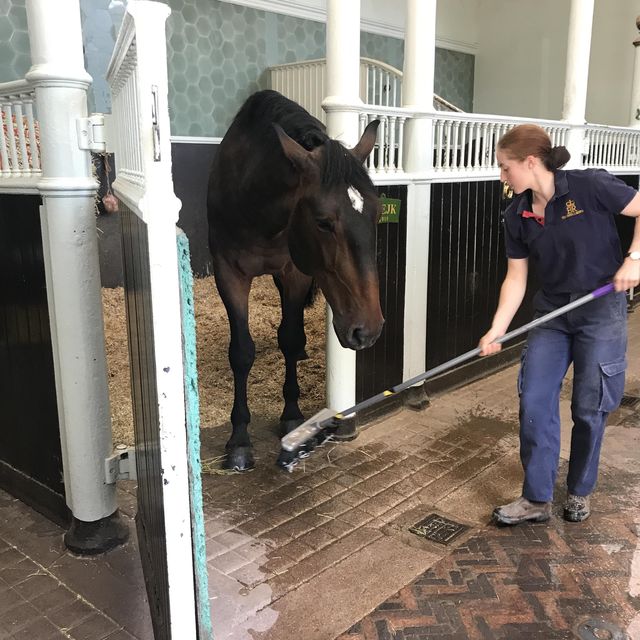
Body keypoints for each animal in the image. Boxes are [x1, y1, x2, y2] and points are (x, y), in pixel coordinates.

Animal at [208, 90, 382, 470]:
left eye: (377, 213)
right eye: (323, 222)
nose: (368, 330)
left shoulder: (296, 272)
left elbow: (289, 337)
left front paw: (291, 416)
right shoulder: (228, 272)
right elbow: (241, 352)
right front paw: (239, 440)